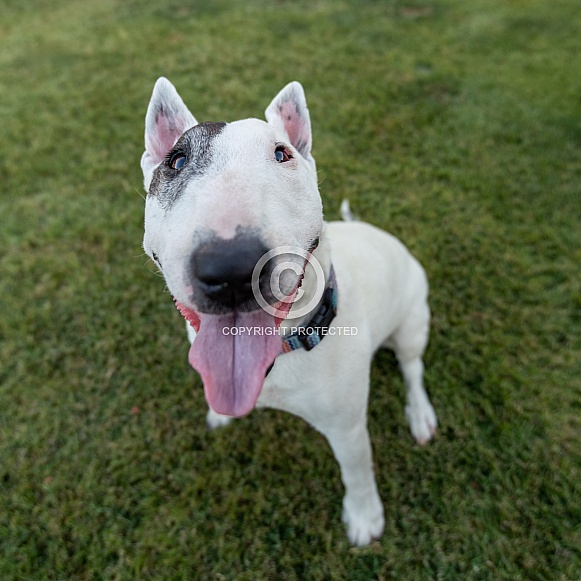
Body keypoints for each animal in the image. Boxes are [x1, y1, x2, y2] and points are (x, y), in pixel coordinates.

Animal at [139, 77, 436, 544]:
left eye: (283, 154)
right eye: (176, 160)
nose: (232, 270)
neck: (282, 353)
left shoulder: (348, 427)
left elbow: (358, 470)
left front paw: (365, 516)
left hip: (412, 322)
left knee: (413, 369)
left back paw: (421, 413)